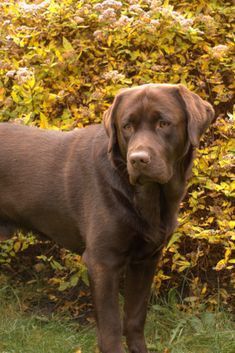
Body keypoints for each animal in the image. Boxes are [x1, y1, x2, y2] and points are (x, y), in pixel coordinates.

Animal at [0, 84, 214, 352]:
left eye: (164, 123)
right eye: (127, 126)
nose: (138, 159)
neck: (148, 197)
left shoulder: (145, 260)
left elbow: (134, 319)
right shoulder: (103, 262)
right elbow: (111, 328)